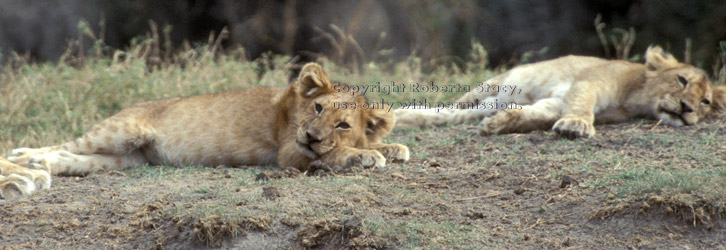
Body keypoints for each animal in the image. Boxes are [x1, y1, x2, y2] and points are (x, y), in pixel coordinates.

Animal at [0, 63, 410, 199]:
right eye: (317, 108)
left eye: (342, 123)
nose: (311, 135)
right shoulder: (289, 150)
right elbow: (335, 152)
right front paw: (366, 155)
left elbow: (374, 140)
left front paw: (392, 147)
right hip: (122, 130)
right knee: (65, 143)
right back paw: (26, 159)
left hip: (124, 159)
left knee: (73, 157)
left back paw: (43, 166)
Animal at [398, 46, 726, 137]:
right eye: (682, 80)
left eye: (705, 101)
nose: (688, 109)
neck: (633, 100)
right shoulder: (591, 80)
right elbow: (581, 103)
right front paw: (576, 125)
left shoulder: (556, 101)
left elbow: (536, 115)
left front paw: (501, 123)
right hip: (488, 86)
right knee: (455, 105)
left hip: (481, 105)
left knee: (446, 116)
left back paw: (403, 117)